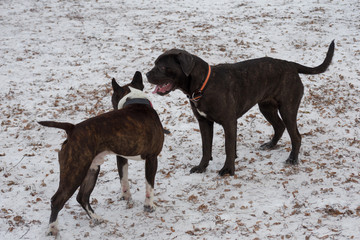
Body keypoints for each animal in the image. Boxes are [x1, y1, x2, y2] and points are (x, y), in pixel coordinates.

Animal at [38, 71, 165, 236]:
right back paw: (53, 229)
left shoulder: (121, 157)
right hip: (75, 173)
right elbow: (149, 185)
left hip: (91, 170)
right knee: (57, 200)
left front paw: (126, 197)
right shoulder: (152, 158)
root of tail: (72, 129)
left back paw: (96, 218)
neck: (135, 101)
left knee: (82, 197)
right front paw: (149, 206)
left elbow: (124, 179)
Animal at [147, 41, 334, 176]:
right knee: (279, 127)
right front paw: (202, 167)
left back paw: (293, 159)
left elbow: (229, 147)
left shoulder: (229, 122)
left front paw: (228, 169)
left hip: (288, 108)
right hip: (266, 107)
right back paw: (270, 145)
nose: (147, 74)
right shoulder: (204, 122)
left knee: (296, 136)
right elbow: (206, 148)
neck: (203, 85)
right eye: (154, 64)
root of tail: (291, 65)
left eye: (162, 67)